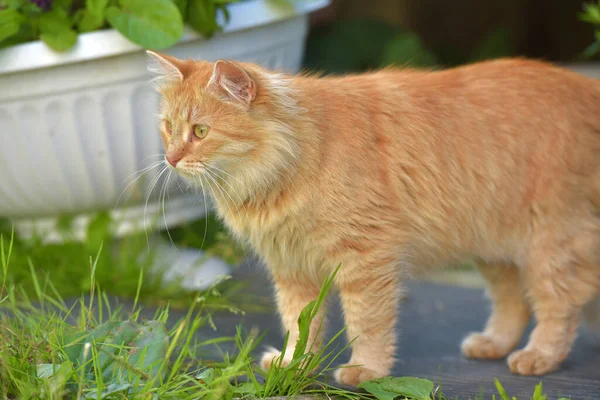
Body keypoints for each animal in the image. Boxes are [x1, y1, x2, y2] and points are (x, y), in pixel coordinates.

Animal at [145, 51, 600, 386]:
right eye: (167, 127)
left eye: (200, 132)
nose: (170, 158)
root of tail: (588, 88)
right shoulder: (292, 267)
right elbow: (299, 323)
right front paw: (295, 364)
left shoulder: (365, 258)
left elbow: (367, 322)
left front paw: (366, 370)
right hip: (495, 249)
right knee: (514, 302)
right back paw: (494, 344)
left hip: (548, 246)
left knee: (559, 309)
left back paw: (537, 356)